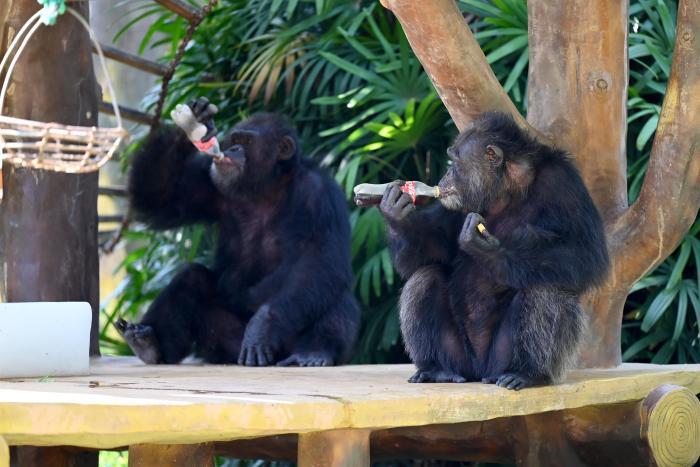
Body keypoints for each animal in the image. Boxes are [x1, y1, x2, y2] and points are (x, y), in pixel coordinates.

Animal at [115, 99, 360, 370]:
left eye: (248, 141)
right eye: (234, 138)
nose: (232, 149)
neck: (267, 187)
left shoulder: (320, 195)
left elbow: (320, 259)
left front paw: (263, 326)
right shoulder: (209, 183)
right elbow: (161, 198)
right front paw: (194, 121)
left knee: (332, 291)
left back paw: (314, 353)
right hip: (225, 344)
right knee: (191, 277)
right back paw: (149, 345)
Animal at [380, 111, 608, 390]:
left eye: (455, 162)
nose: (445, 174)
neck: (506, 188)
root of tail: (480, 372)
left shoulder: (564, 184)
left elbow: (584, 254)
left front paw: (487, 249)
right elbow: (432, 248)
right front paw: (396, 213)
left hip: (500, 358)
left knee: (545, 286)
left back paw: (526, 372)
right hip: (460, 359)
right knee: (424, 278)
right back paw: (436, 368)